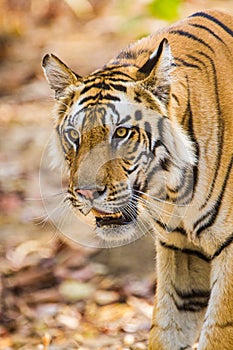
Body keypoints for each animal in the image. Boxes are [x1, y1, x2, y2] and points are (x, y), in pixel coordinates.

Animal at [41, 9, 233, 350]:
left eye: (121, 132)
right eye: (74, 135)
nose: (87, 193)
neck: (174, 191)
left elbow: (218, 333)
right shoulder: (180, 248)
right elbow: (167, 327)